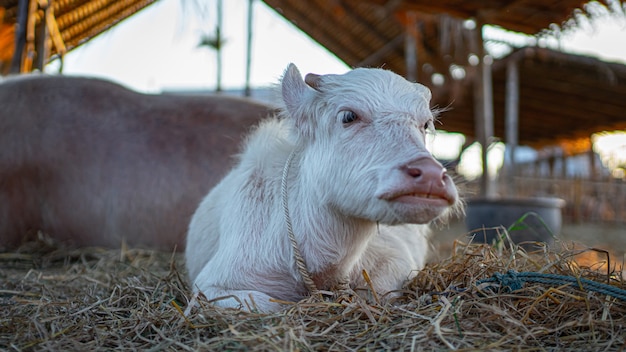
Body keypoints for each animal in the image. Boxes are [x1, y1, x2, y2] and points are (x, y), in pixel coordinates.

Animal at [185, 63, 458, 310]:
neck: (325, 265)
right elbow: (269, 305)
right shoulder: (211, 286)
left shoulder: (396, 260)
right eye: (348, 116)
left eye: (425, 124)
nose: (431, 175)